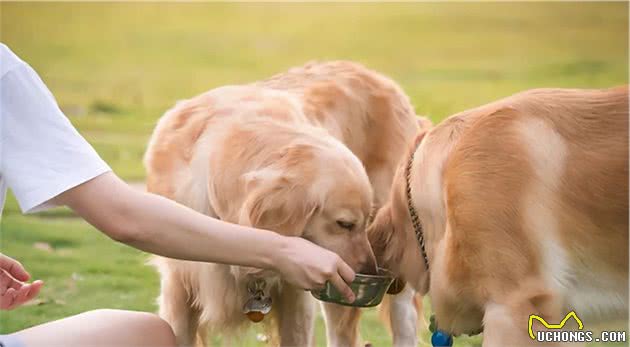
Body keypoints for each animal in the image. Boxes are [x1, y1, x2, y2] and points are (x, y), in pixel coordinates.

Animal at [146, 61, 428, 346]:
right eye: (344, 224)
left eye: (364, 221)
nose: (372, 270)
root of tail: (377, 76)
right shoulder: (178, 286)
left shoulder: (297, 293)